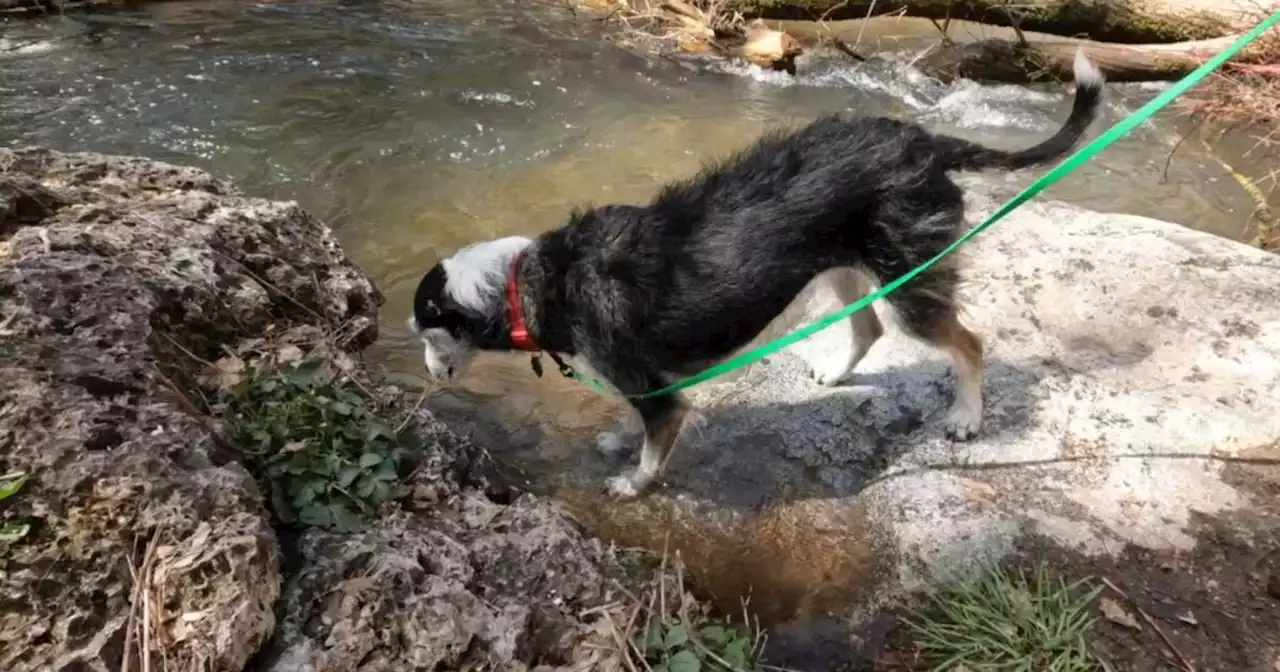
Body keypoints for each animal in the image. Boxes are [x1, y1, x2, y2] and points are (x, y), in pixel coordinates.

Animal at [414, 49, 1105, 496]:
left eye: (426, 332)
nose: (424, 372)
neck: (531, 278)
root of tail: (927, 141)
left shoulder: (656, 392)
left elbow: (655, 442)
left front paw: (634, 482)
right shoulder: (646, 381)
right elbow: (634, 421)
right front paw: (618, 441)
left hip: (911, 279)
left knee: (968, 342)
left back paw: (966, 417)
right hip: (846, 269)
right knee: (870, 330)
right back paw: (836, 373)